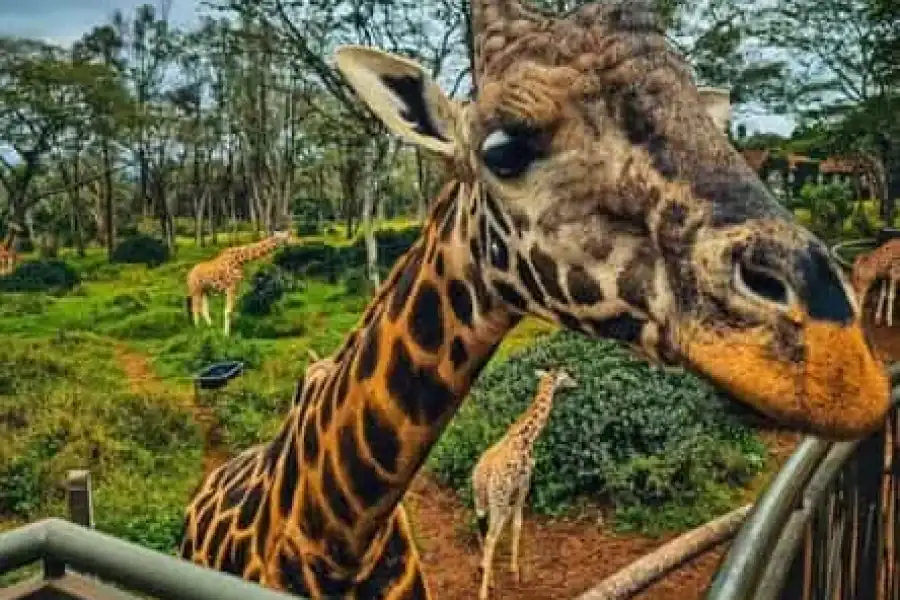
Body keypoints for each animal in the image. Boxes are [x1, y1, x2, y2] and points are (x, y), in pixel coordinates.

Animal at [472, 367, 577, 599]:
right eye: (565, 375)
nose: (576, 383)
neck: (527, 435)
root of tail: (483, 475)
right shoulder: (524, 483)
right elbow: (518, 523)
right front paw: (514, 571)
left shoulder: (514, 491)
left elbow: (510, 522)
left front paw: (490, 568)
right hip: (498, 499)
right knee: (491, 536)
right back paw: (484, 591)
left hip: (481, 499)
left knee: (482, 528)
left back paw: (486, 573)